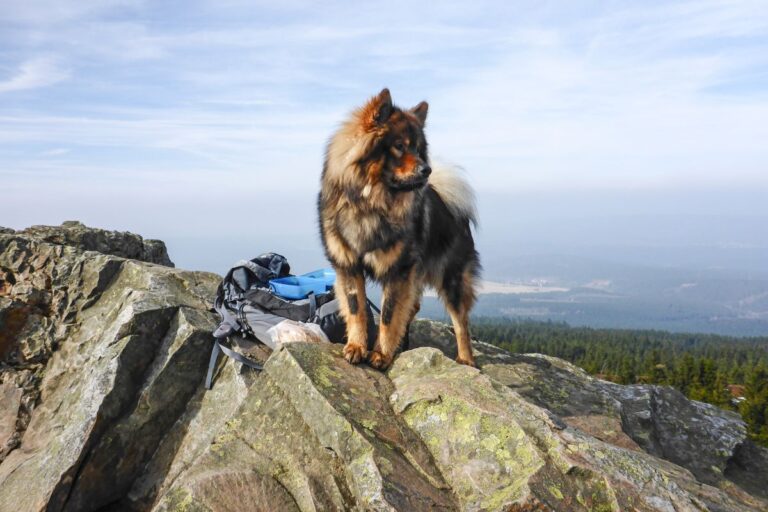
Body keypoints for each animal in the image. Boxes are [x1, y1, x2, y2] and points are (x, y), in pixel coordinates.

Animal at [316, 87, 476, 368]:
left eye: (419, 148)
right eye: (399, 146)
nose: (427, 169)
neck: (370, 204)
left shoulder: (397, 270)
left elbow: (389, 316)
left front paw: (381, 353)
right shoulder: (349, 265)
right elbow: (357, 310)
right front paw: (357, 346)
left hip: (452, 278)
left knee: (461, 322)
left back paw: (466, 359)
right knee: (414, 307)